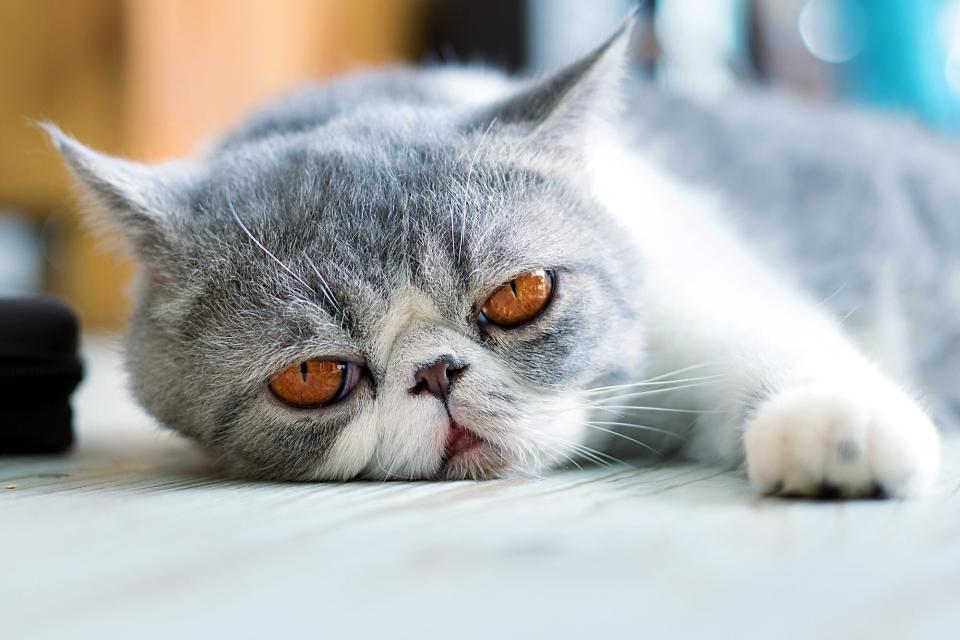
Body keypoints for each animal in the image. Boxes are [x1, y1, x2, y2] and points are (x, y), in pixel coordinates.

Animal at [47, 13, 952, 496]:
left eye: (519, 294)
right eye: (312, 376)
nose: (437, 371)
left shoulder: (694, 282)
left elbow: (769, 335)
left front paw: (838, 428)